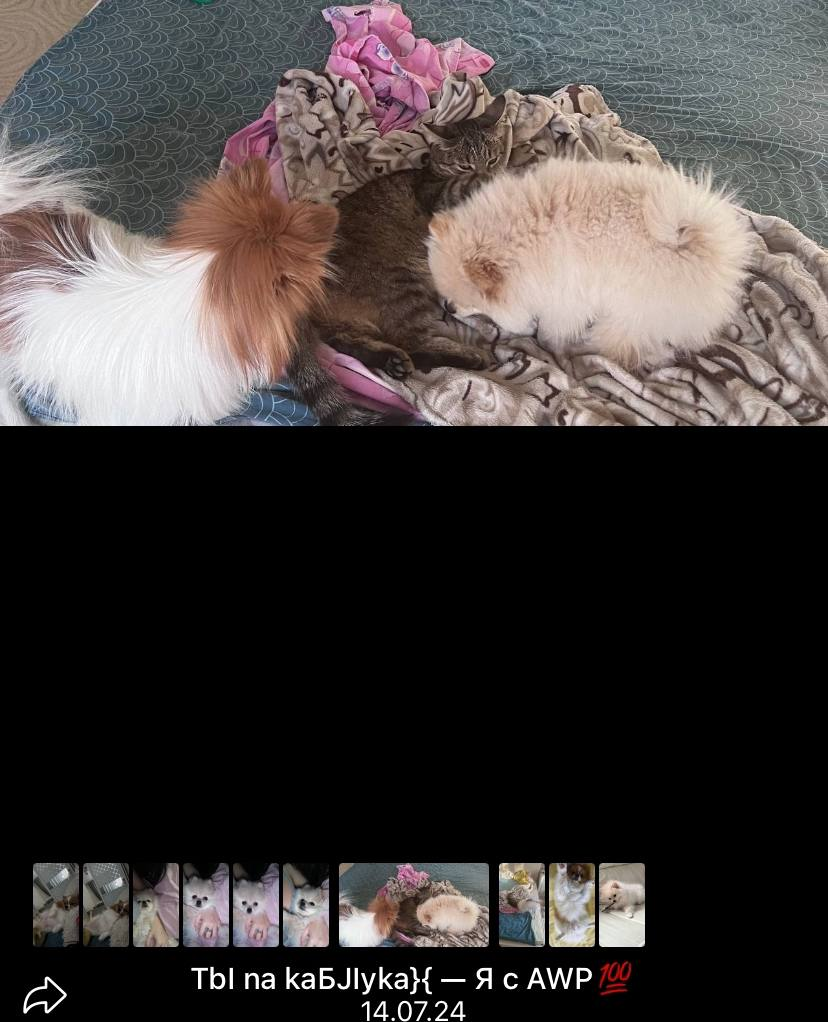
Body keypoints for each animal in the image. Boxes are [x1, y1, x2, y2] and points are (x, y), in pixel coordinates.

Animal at [317, 96, 508, 377]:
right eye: (465, 165)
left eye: (493, 159)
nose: (489, 171)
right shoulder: (438, 196)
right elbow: (465, 185)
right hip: (402, 284)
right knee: (414, 343)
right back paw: (471, 356)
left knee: (347, 344)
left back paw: (390, 360)